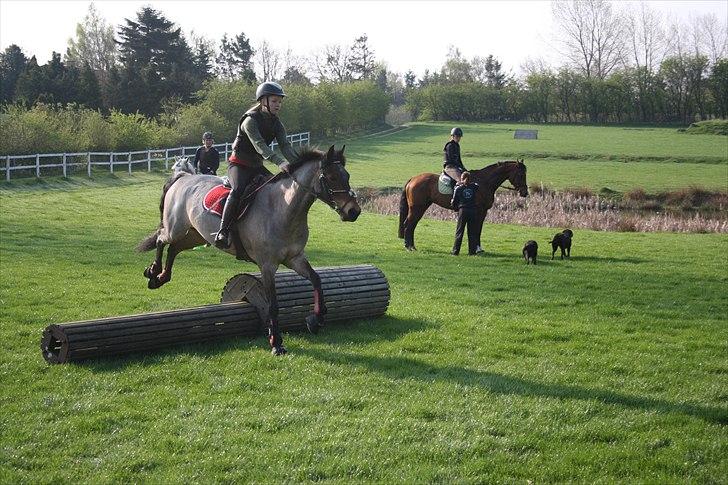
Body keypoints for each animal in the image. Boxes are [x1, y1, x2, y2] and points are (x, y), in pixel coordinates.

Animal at [136, 146, 358, 354]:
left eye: (347, 176)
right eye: (332, 177)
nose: (353, 211)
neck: (285, 208)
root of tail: (184, 177)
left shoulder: (295, 258)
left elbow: (317, 280)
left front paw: (315, 320)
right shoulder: (267, 265)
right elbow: (273, 305)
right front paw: (276, 343)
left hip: (195, 235)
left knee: (174, 248)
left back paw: (161, 277)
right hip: (176, 228)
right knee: (161, 238)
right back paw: (153, 272)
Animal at [398, 160, 528, 250]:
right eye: (521, 175)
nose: (525, 192)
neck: (484, 182)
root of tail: (413, 179)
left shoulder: (483, 212)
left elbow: (479, 230)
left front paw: (479, 248)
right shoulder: (479, 211)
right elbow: (477, 229)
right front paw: (477, 248)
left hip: (421, 207)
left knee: (412, 225)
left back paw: (411, 246)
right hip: (417, 208)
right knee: (408, 224)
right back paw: (409, 247)